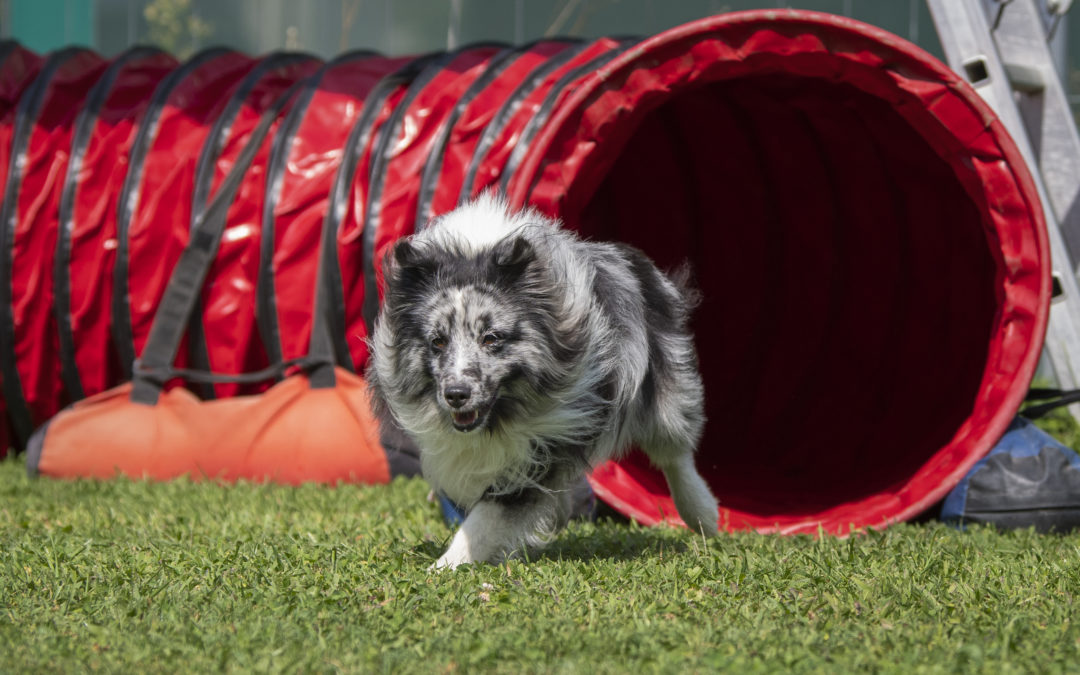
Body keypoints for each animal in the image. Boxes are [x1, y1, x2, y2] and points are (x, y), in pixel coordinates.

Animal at [367, 194, 721, 570]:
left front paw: (443, 567)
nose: (456, 394)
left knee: (675, 452)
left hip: (666, 391)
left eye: (491, 339)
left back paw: (704, 515)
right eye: (437, 342)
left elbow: (486, 517)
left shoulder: (544, 444)